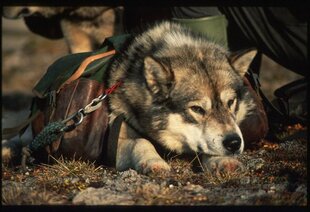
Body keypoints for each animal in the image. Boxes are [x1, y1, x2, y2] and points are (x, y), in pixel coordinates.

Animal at [108, 21, 268, 175]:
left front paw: (223, 160)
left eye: (230, 102)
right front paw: (153, 161)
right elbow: (141, 141)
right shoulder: (113, 142)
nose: (234, 143)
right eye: (197, 109)